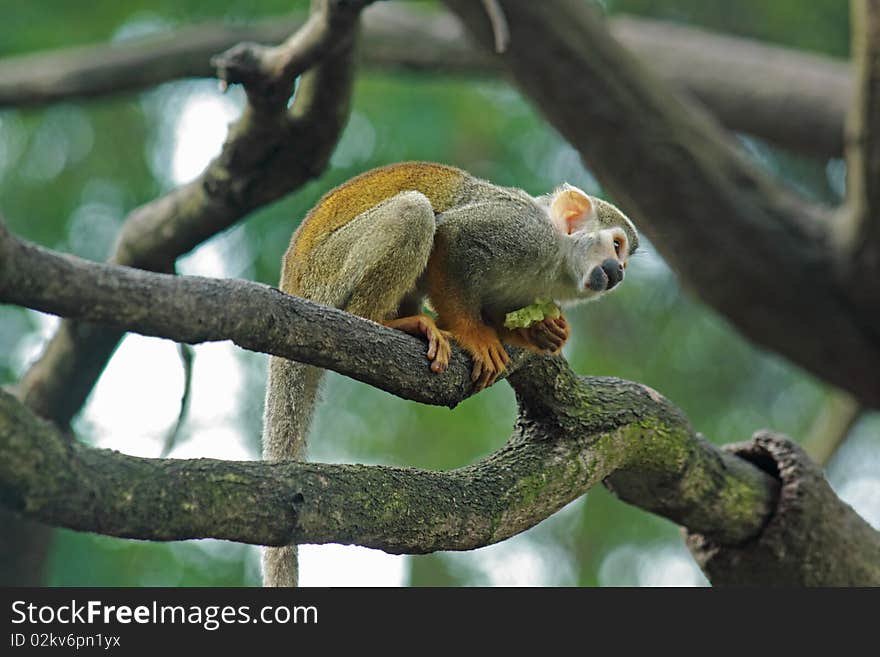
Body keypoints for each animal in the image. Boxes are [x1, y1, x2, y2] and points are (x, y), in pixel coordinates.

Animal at [262, 159, 640, 584]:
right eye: (617, 247)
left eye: (625, 257)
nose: (620, 271)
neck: (554, 261)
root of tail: (293, 283)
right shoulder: (524, 232)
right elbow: (452, 237)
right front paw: (472, 333)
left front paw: (537, 330)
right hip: (328, 273)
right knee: (414, 211)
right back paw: (382, 319)